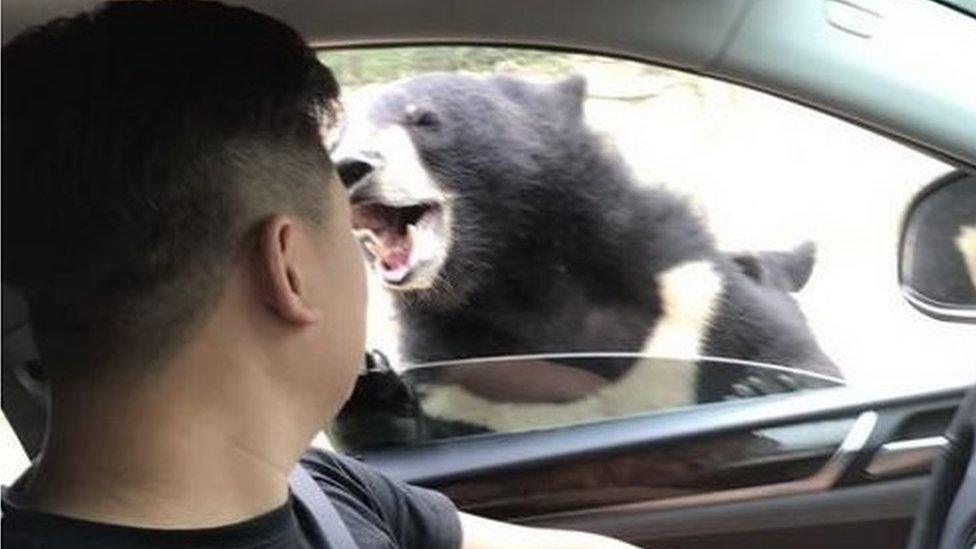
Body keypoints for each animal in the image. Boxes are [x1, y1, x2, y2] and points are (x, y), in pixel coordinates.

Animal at [332, 70, 844, 444]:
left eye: (424, 119)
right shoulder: (460, 376)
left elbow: (775, 343)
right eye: (335, 137)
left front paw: (770, 384)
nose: (350, 167)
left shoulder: (687, 288)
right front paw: (373, 394)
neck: (511, 275)